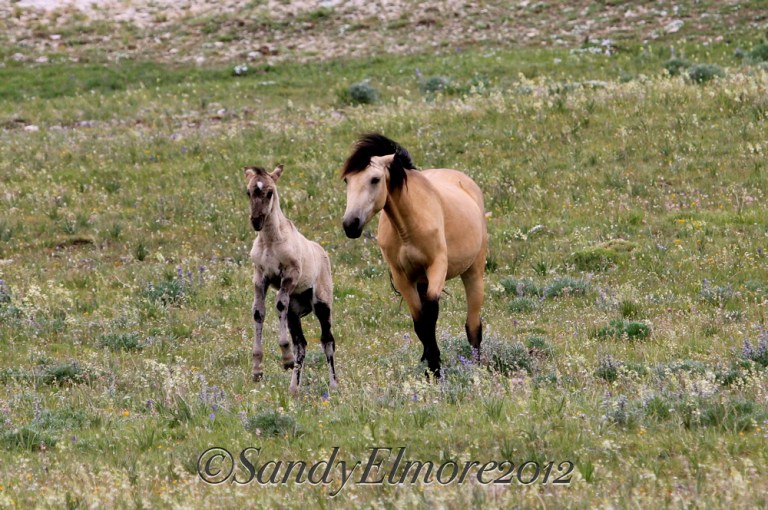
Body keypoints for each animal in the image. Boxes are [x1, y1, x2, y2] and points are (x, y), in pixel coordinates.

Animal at [245, 164, 338, 394]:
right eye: (248, 192)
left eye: (270, 192)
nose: (256, 221)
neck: (270, 241)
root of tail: (322, 252)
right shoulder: (260, 278)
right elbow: (258, 313)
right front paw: (257, 370)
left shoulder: (289, 276)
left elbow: (279, 304)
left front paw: (285, 357)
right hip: (295, 312)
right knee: (302, 345)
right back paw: (293, 389)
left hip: (322, 304)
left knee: (327, 340)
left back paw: (333, 385)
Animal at [341, 134, 487, 377]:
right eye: (347, 181)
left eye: (374, 179)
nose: (350, 224)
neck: (408, 227)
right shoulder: (403, 277)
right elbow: (420, 323)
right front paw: (430, 367)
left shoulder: (437, 266)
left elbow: (431, 313)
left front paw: (436, 369)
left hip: (473, 272)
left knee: (473, 325)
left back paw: (477, 367)